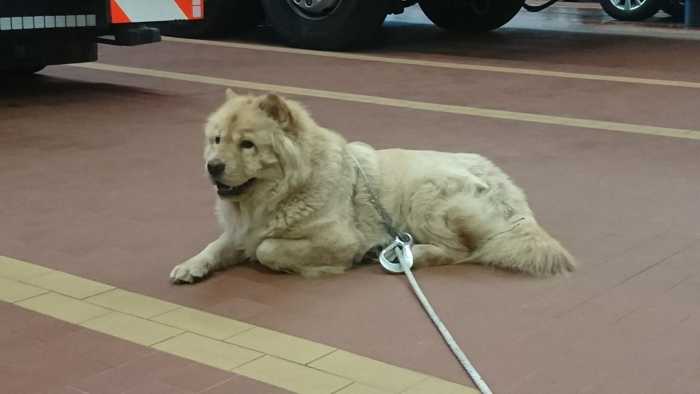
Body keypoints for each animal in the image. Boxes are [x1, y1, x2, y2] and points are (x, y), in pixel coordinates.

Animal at [170, 89, 576, 284]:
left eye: (248, 145)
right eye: (217, 140)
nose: (213, 167)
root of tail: (506, 185)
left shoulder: (336, 239)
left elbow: (268, 248)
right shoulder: (241, 230)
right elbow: (217, 246)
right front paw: (190, 267)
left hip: (425, 196)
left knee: (462, 251)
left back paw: (408, 255)